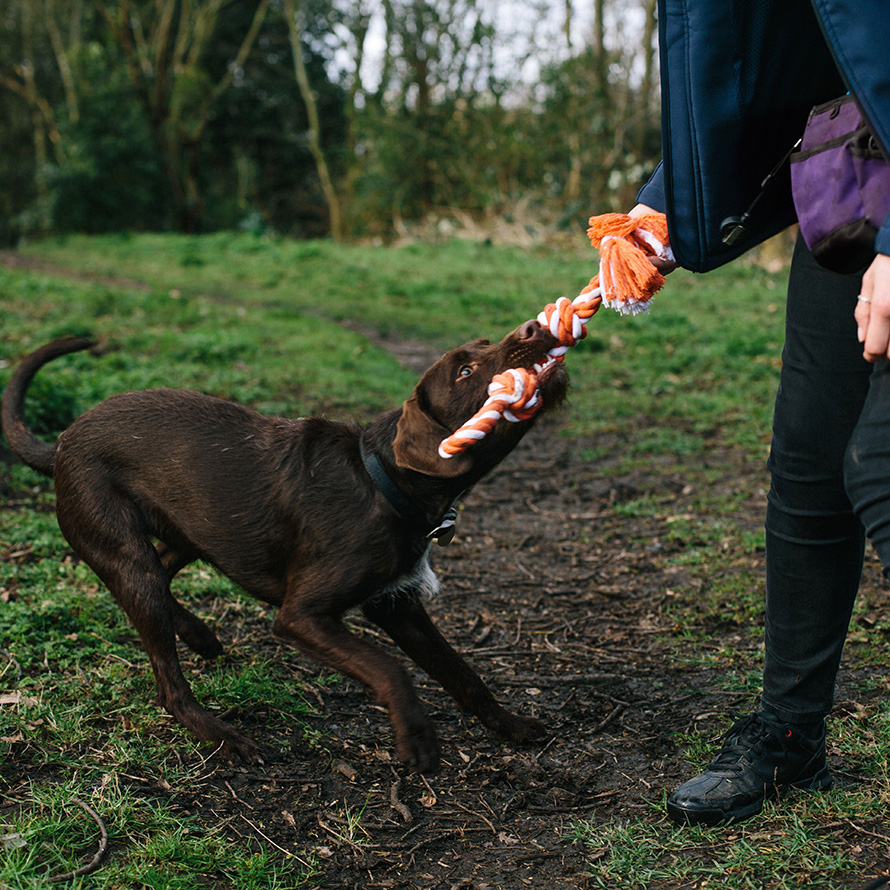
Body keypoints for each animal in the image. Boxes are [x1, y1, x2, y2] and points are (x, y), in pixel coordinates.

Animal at [1, 328, 560, 772]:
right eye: (466, 370)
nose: (534, 328)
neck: (383, 481)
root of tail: (62, 442)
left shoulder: (398, 608)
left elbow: (462, 673)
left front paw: (511, 726)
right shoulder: (303, 617)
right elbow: (390, 668)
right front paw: (417, 737)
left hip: (189, 532)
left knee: (164, 572)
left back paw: (200, 636)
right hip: (124, 551)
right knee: (167, 678)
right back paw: (222, 734)